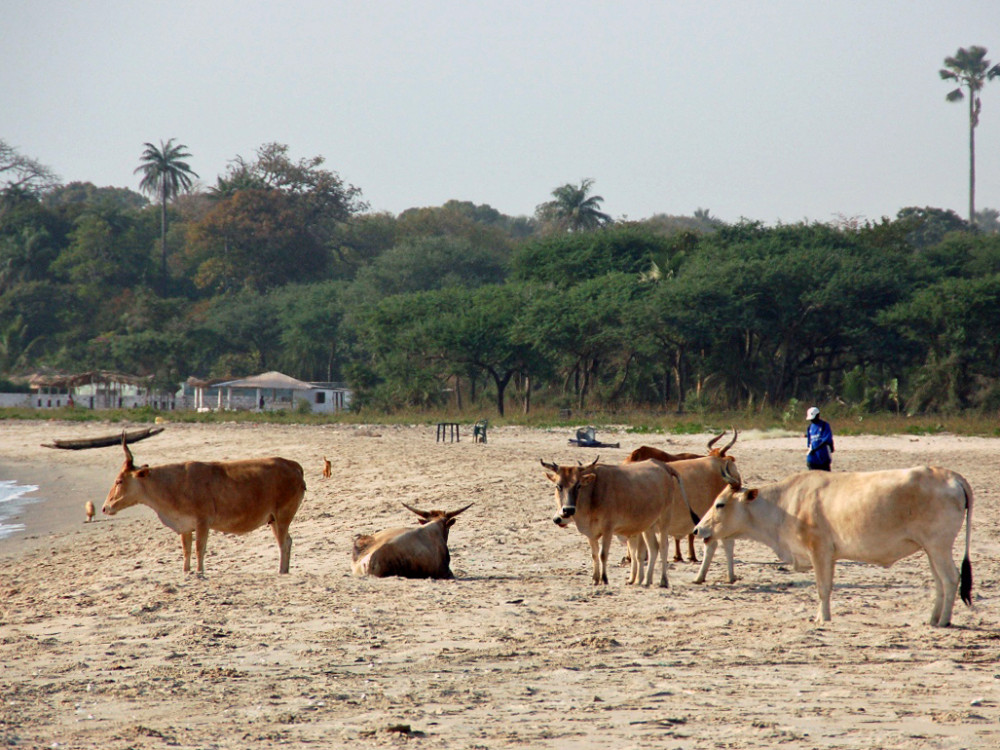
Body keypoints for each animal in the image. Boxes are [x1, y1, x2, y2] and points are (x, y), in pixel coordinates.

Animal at [102, 434, 306, 576]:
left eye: (119, 480)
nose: (105, 507)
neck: (174, 484)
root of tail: (293, 465)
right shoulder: (185, 526)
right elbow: (186, 550)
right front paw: (186, 571)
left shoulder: (203, 522)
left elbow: (200, 548)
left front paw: (200, 572)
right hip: (273, 520)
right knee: (287, 541)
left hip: (282, 517)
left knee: (284, 543)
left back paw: (281, 572)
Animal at [696, 470, 976, 628]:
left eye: (720, 504)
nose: (698, 529)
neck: (785, 503)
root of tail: (952, 476)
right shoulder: (829, 555)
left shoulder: (818, 550)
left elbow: (822, 588)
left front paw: (823, 619)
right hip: (930, 549)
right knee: (939, 582)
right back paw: (932, 620)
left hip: (939, 546)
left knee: (951, 578)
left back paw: (944, 621)